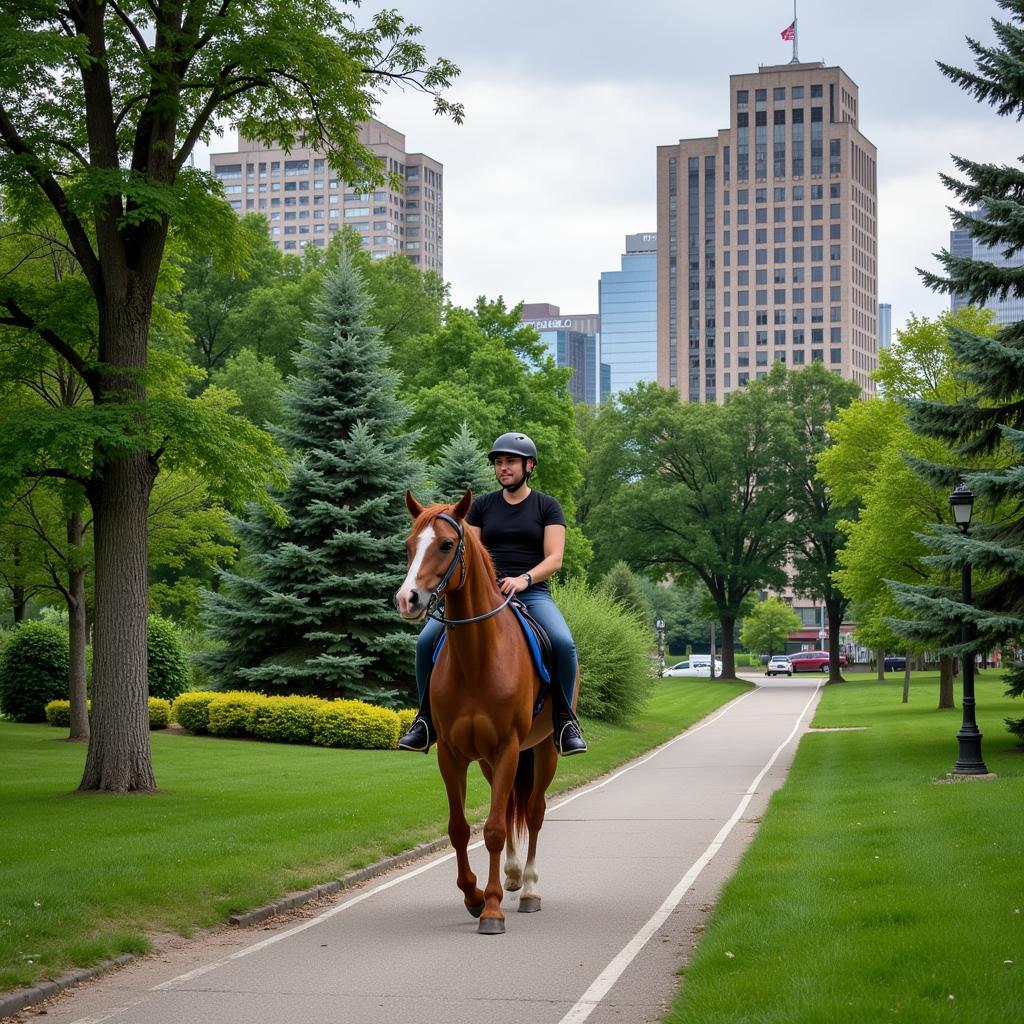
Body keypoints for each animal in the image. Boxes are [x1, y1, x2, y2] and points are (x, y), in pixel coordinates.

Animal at [393, 489, 569, 937]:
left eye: (445, 545)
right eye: (408, 546)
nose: (407, 599)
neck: (476, 658)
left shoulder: (508, 747)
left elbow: (492, 829)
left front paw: (490, 909)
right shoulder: (451, 754)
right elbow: (460, 829)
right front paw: (473, 896)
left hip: (544, 750)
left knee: (534, 812)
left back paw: (529, 888)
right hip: (491, 761)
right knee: (506, 807)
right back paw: (511, 876)